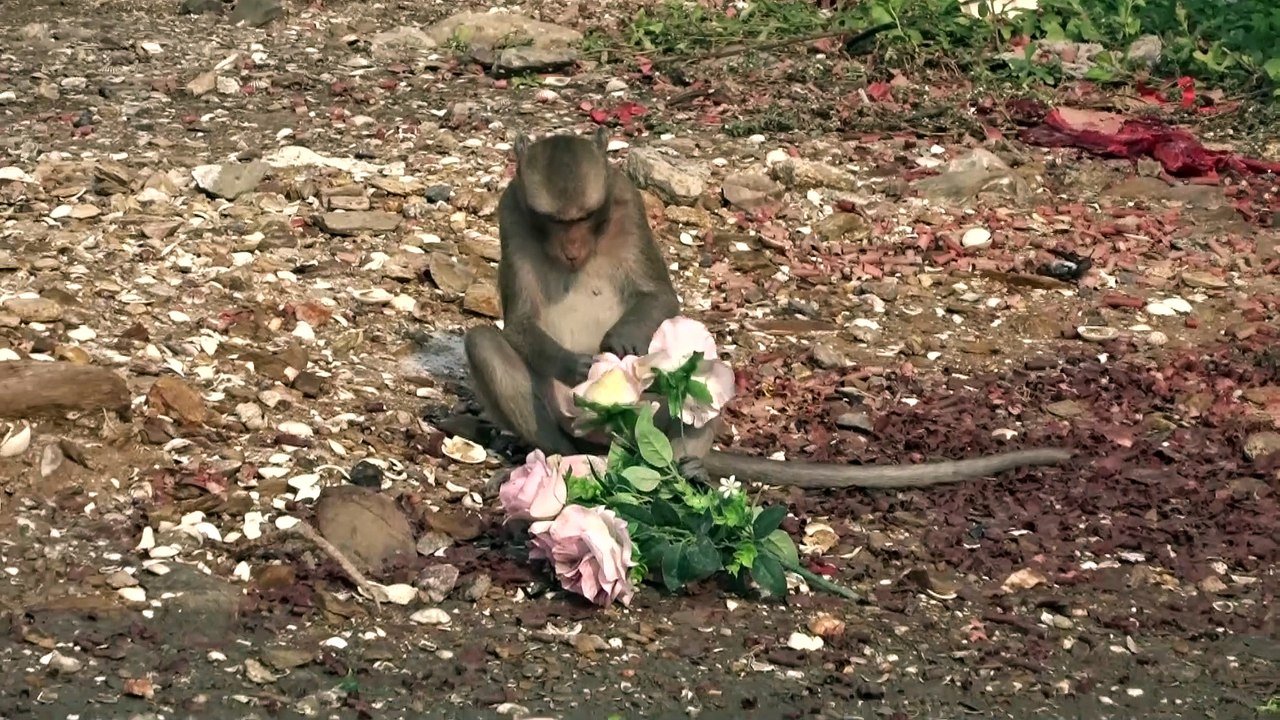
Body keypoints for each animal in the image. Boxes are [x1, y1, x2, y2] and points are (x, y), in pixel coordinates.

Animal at [463, 128, 1074, 492]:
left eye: (585, 219)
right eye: (553, 222)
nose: (571, 250)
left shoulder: (626, 205)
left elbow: (660, 300)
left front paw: (625, 345)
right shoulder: (511, 214)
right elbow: (517, 324)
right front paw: (578, 368)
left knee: (698, 363)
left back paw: (680, 465)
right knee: (483, 342)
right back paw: (560, 457)